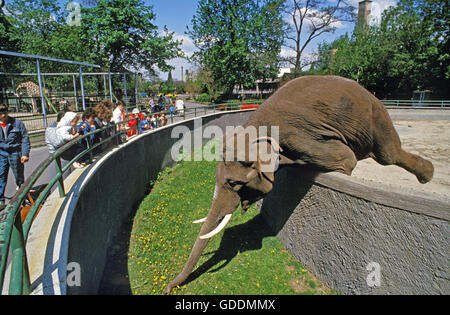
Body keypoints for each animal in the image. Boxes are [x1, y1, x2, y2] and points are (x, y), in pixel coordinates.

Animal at [164, 75, 432, 296]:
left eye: (234, 183)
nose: (167, 288)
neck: (255, 127)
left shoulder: (299, 136)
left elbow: (344, 159)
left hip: (376, 114)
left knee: (388, 154)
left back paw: (427, 176)